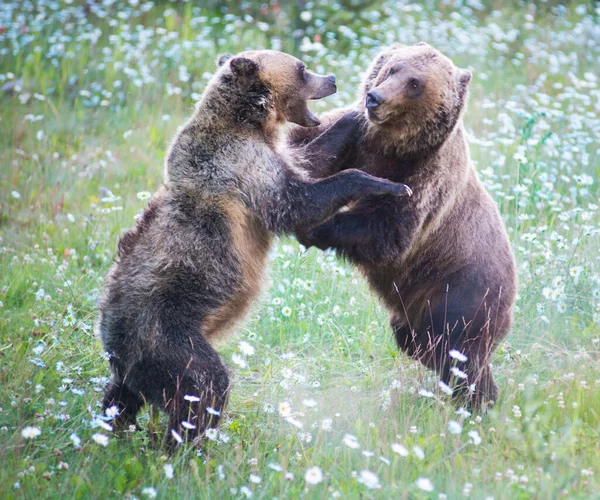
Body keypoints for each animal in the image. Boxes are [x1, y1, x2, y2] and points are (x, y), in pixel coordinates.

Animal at [97, 49, 412, 446]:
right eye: (302, 68)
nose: (332, 78)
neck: (250, 122)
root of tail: (112, 333)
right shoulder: (242, 165)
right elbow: (299, 201)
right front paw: (389, 185)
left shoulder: (270, 154)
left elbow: (313, 158)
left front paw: (355, 116)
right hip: (165, 333)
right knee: (202, 384)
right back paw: (188, 445)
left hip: (133, 359)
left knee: (118, 396)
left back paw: (110, 431)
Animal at [290, 43, 516, 408]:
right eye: (393, 68)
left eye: (415, 84)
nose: (375, 98)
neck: (390, 147)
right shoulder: (356, 139)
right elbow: (302, 147)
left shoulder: (425, 179)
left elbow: (387, 231)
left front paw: (316, 227)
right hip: (420, 311)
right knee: (422, 345)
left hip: (462, 293)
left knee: (461, 356)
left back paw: (478, 402)